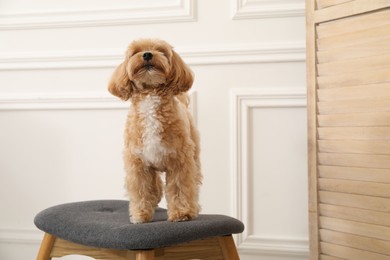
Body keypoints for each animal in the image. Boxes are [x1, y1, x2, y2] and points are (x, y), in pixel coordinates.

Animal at [108, 38, 203, 223]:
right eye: (135, 52)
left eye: (161, 51)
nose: (147, 54)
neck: (151, 94)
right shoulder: (138, 164)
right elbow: (142, 189)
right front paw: (140, 214)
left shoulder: (180, 161)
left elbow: (180, 188)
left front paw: (181, 213)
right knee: (156, 185)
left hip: (193, 156)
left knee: (193, 184)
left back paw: (193, 208)